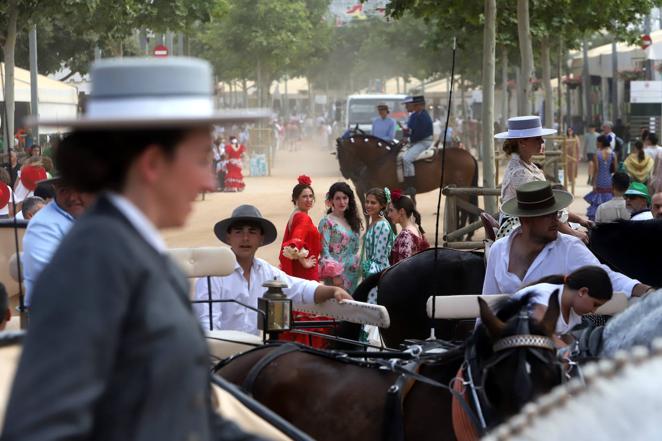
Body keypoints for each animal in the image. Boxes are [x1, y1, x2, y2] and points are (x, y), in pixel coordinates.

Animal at [340, 135, 480, 234]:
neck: (382, 160)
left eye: (342, 153)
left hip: (462, 189)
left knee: (464, 209)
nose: (346, 173)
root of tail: (469, 155)